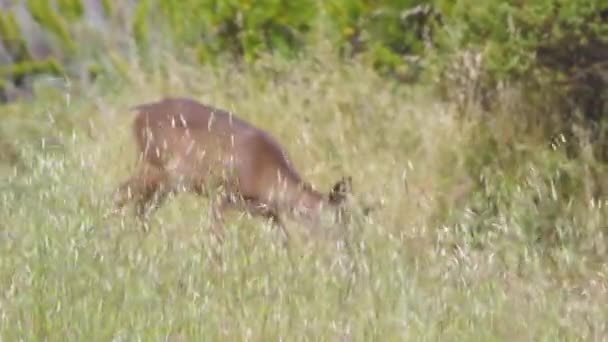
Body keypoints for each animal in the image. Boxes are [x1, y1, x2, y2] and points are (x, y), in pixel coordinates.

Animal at [111, 97, 354, 244]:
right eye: (337, 221)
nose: (348, 247)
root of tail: (140, 111)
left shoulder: (268, 213)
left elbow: (284, 241)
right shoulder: (221, 194)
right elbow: (217, 238)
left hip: (167, 183)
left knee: (140, 207)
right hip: (155, 167)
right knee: (121, 194)